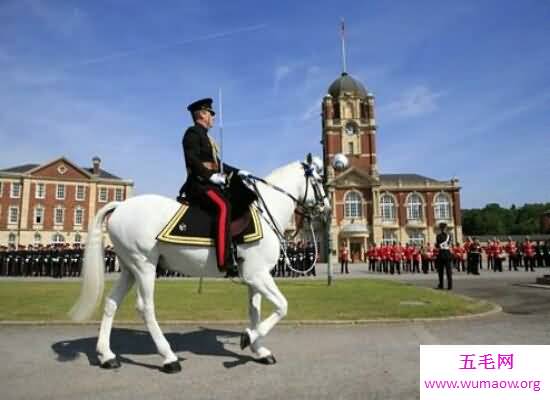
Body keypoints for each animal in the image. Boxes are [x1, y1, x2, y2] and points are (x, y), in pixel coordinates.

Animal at [68, 155, 328, 372]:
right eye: (319, 180)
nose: (326, 208)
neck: (266, 211)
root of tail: (121, 205)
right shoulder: (257, 275)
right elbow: (282, 306)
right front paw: (248, 338)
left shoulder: (255, 277)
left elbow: (255, 312)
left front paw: (258, 348)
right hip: (144, 266)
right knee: (145, 308)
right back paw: (169, 357)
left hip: (129, 268)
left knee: (111, 303)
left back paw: (106, 356)